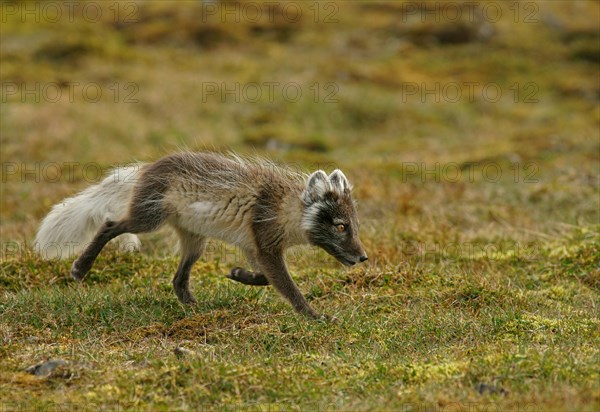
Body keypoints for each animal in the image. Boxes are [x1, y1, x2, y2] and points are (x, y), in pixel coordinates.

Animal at [37, 151, 368, 318]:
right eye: (340, 226)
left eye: (354, 224)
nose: (364, 257)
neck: (283, 206)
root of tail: (148, 166)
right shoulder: (265, 245)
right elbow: (289, 288)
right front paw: (315, 316)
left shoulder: (254, 247)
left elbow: (263, 278)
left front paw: (238, 274)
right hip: (148, 219)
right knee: (109, 225)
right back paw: (81, 268)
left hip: (195, 240)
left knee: (178, 279)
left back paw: (196, 308)